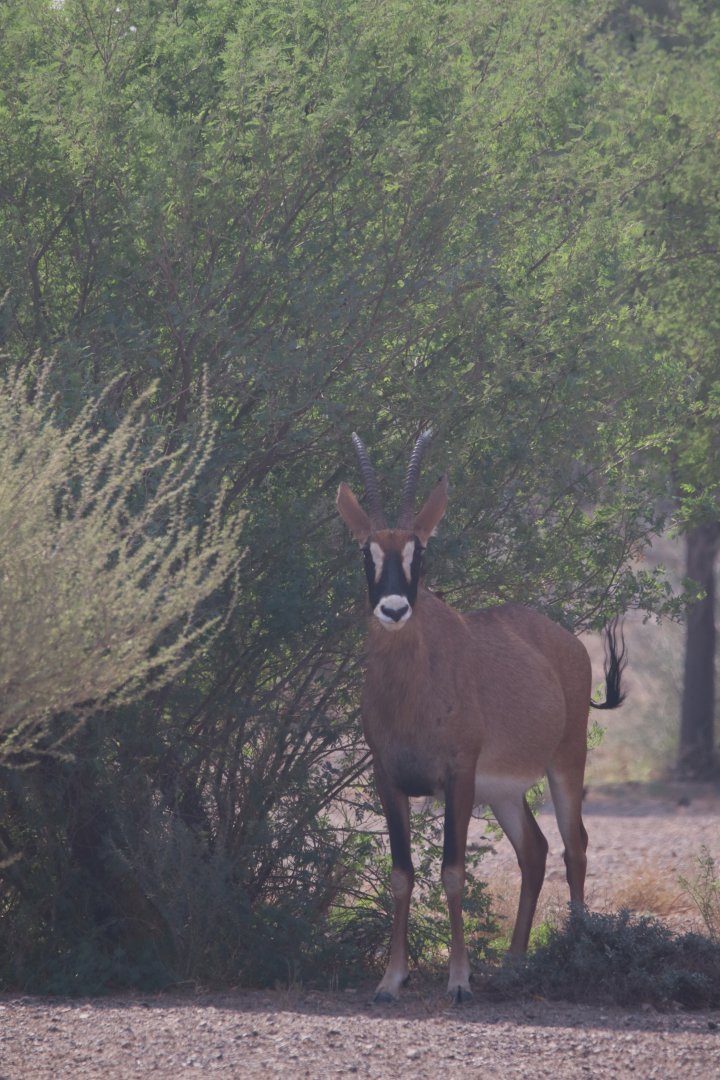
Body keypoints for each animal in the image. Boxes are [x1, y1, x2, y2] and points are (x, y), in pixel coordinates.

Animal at [337, 431, 626, 1004]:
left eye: (419, 549)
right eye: (366, 550)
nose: (394, 609)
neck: (411, 691)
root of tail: (563, 642)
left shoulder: (458, 776)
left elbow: (452, 872)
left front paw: (459, 980)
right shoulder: (388, 779)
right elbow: (401, 874)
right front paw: (391, 980)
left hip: (565, 763)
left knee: (574, 845)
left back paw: (576, 951)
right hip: (503, 793)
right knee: (535, 850)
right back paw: (513, 963)